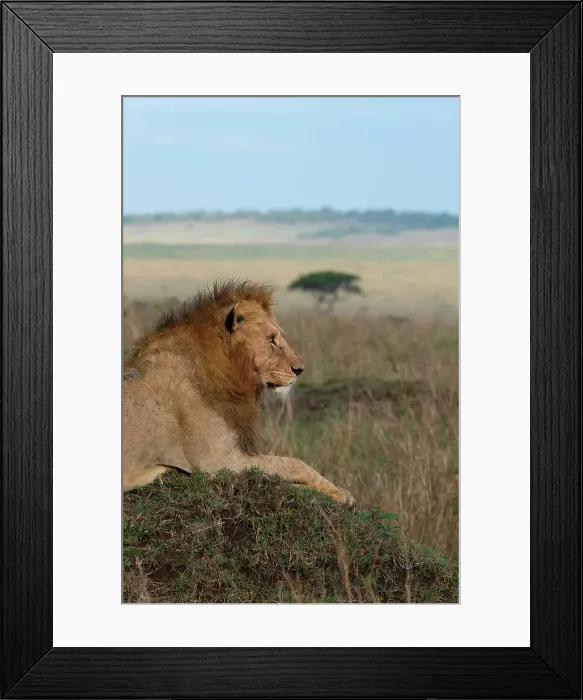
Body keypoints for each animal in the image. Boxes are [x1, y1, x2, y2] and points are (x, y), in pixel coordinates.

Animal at [123, 279, 355, 506]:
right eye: (272, 339)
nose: (300, 370)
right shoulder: (218, 461)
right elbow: (295, 464)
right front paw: (342, 496)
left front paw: (339, 491)